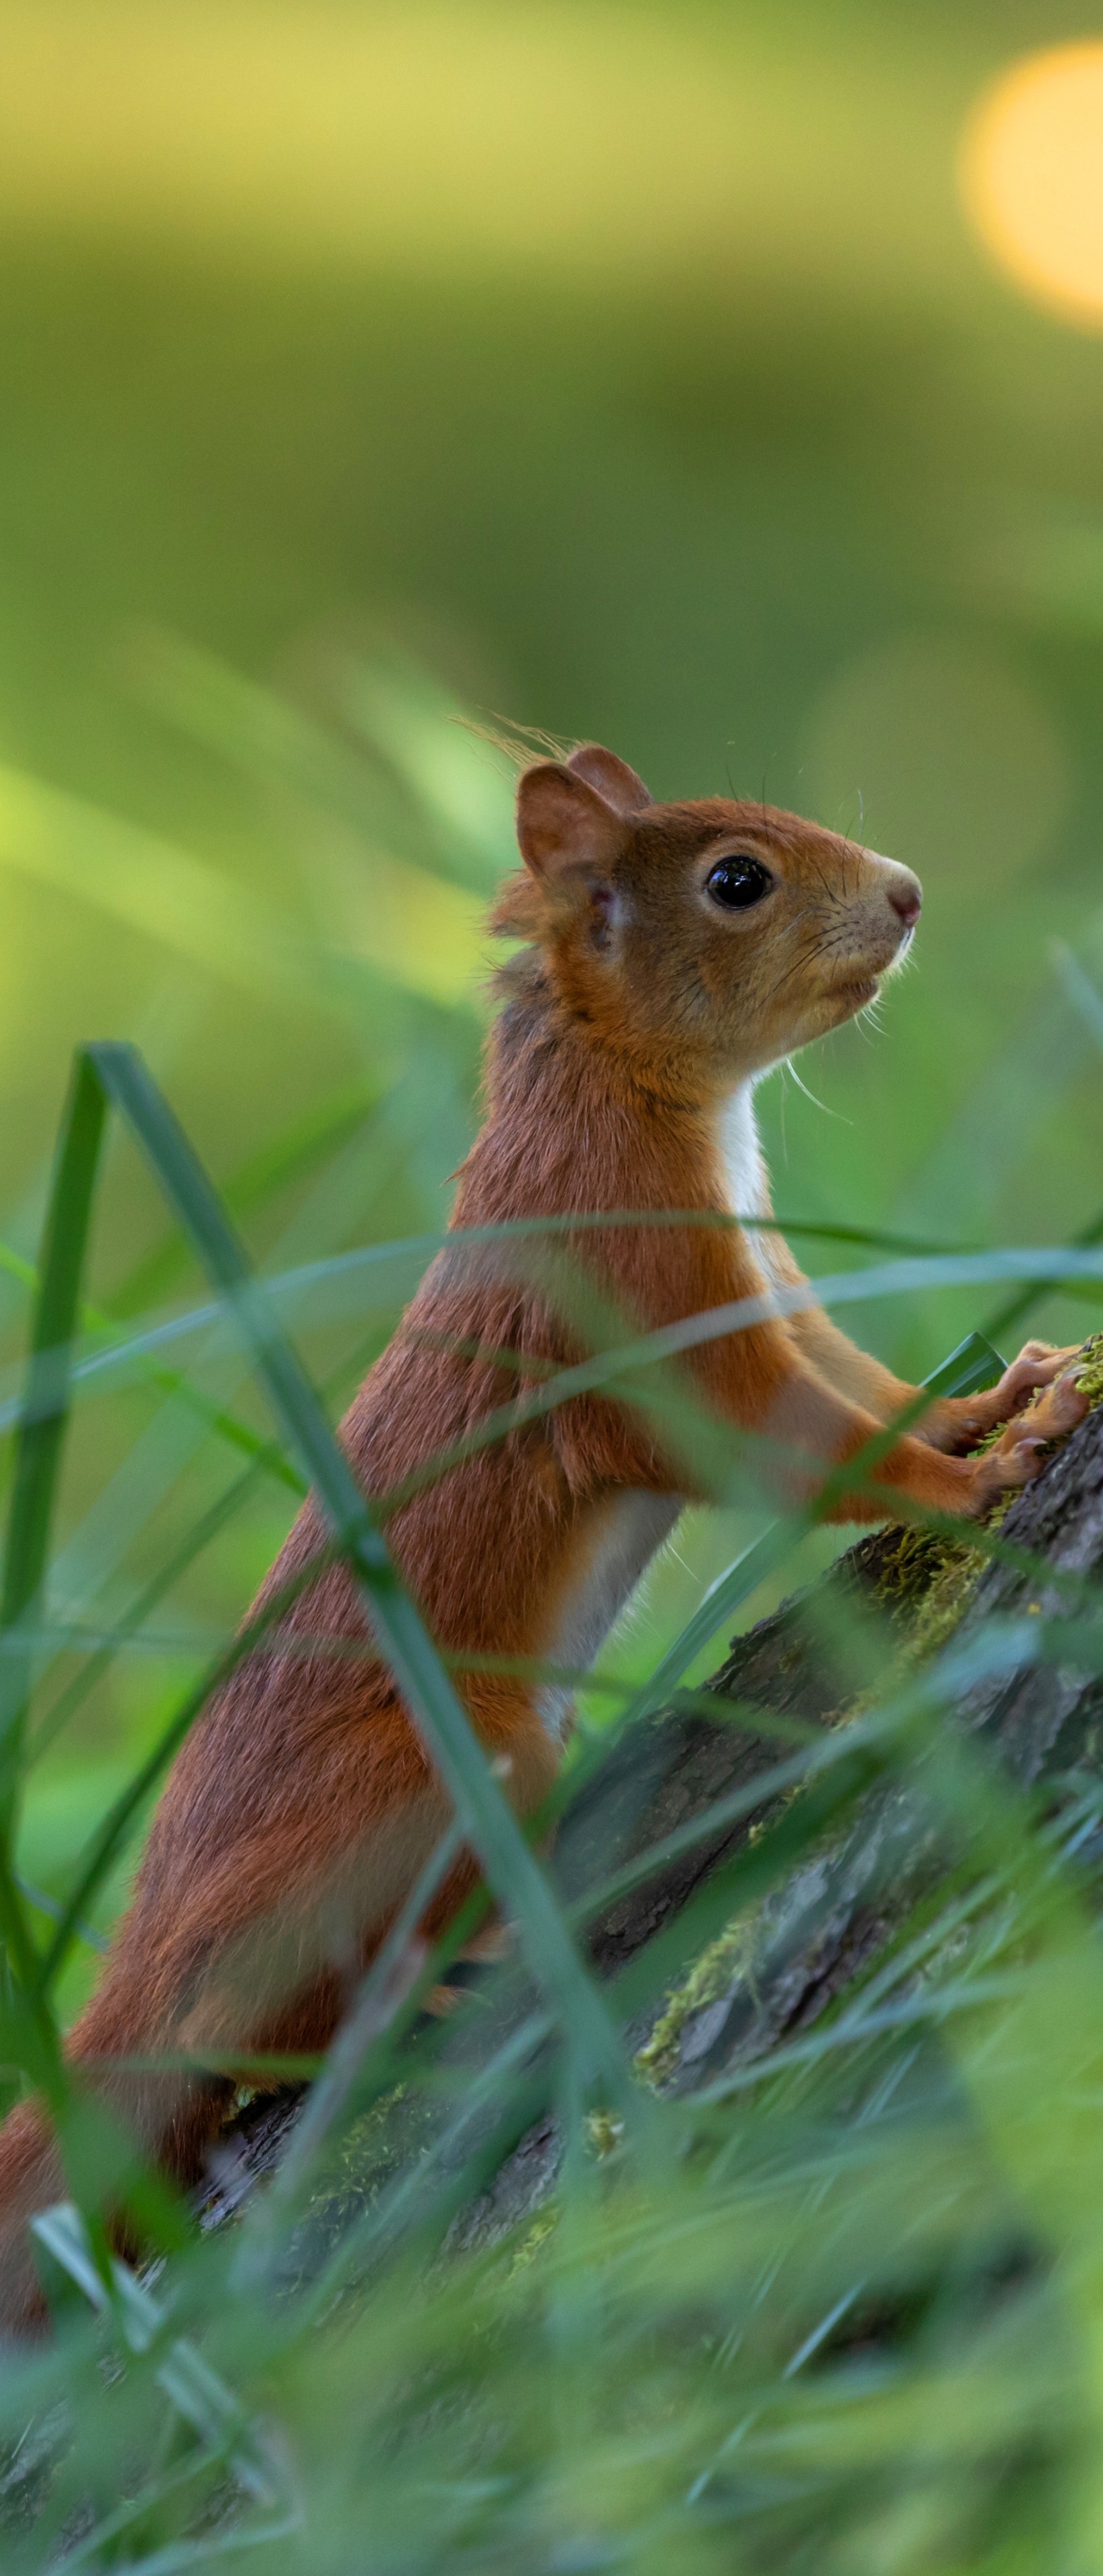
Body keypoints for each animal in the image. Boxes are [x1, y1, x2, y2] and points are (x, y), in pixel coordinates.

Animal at [0, 737, 1087, 2328]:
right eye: (737, 880)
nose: (905, 893)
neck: (634, 1093)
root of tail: (134, 1979)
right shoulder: (640, 1307)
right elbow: (800, 1445)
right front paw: (979, 1480)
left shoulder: (774, 1284)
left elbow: (868, 1390)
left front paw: (992, 1400)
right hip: (447, 1771)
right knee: (237, 2041)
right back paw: (420, 1991)